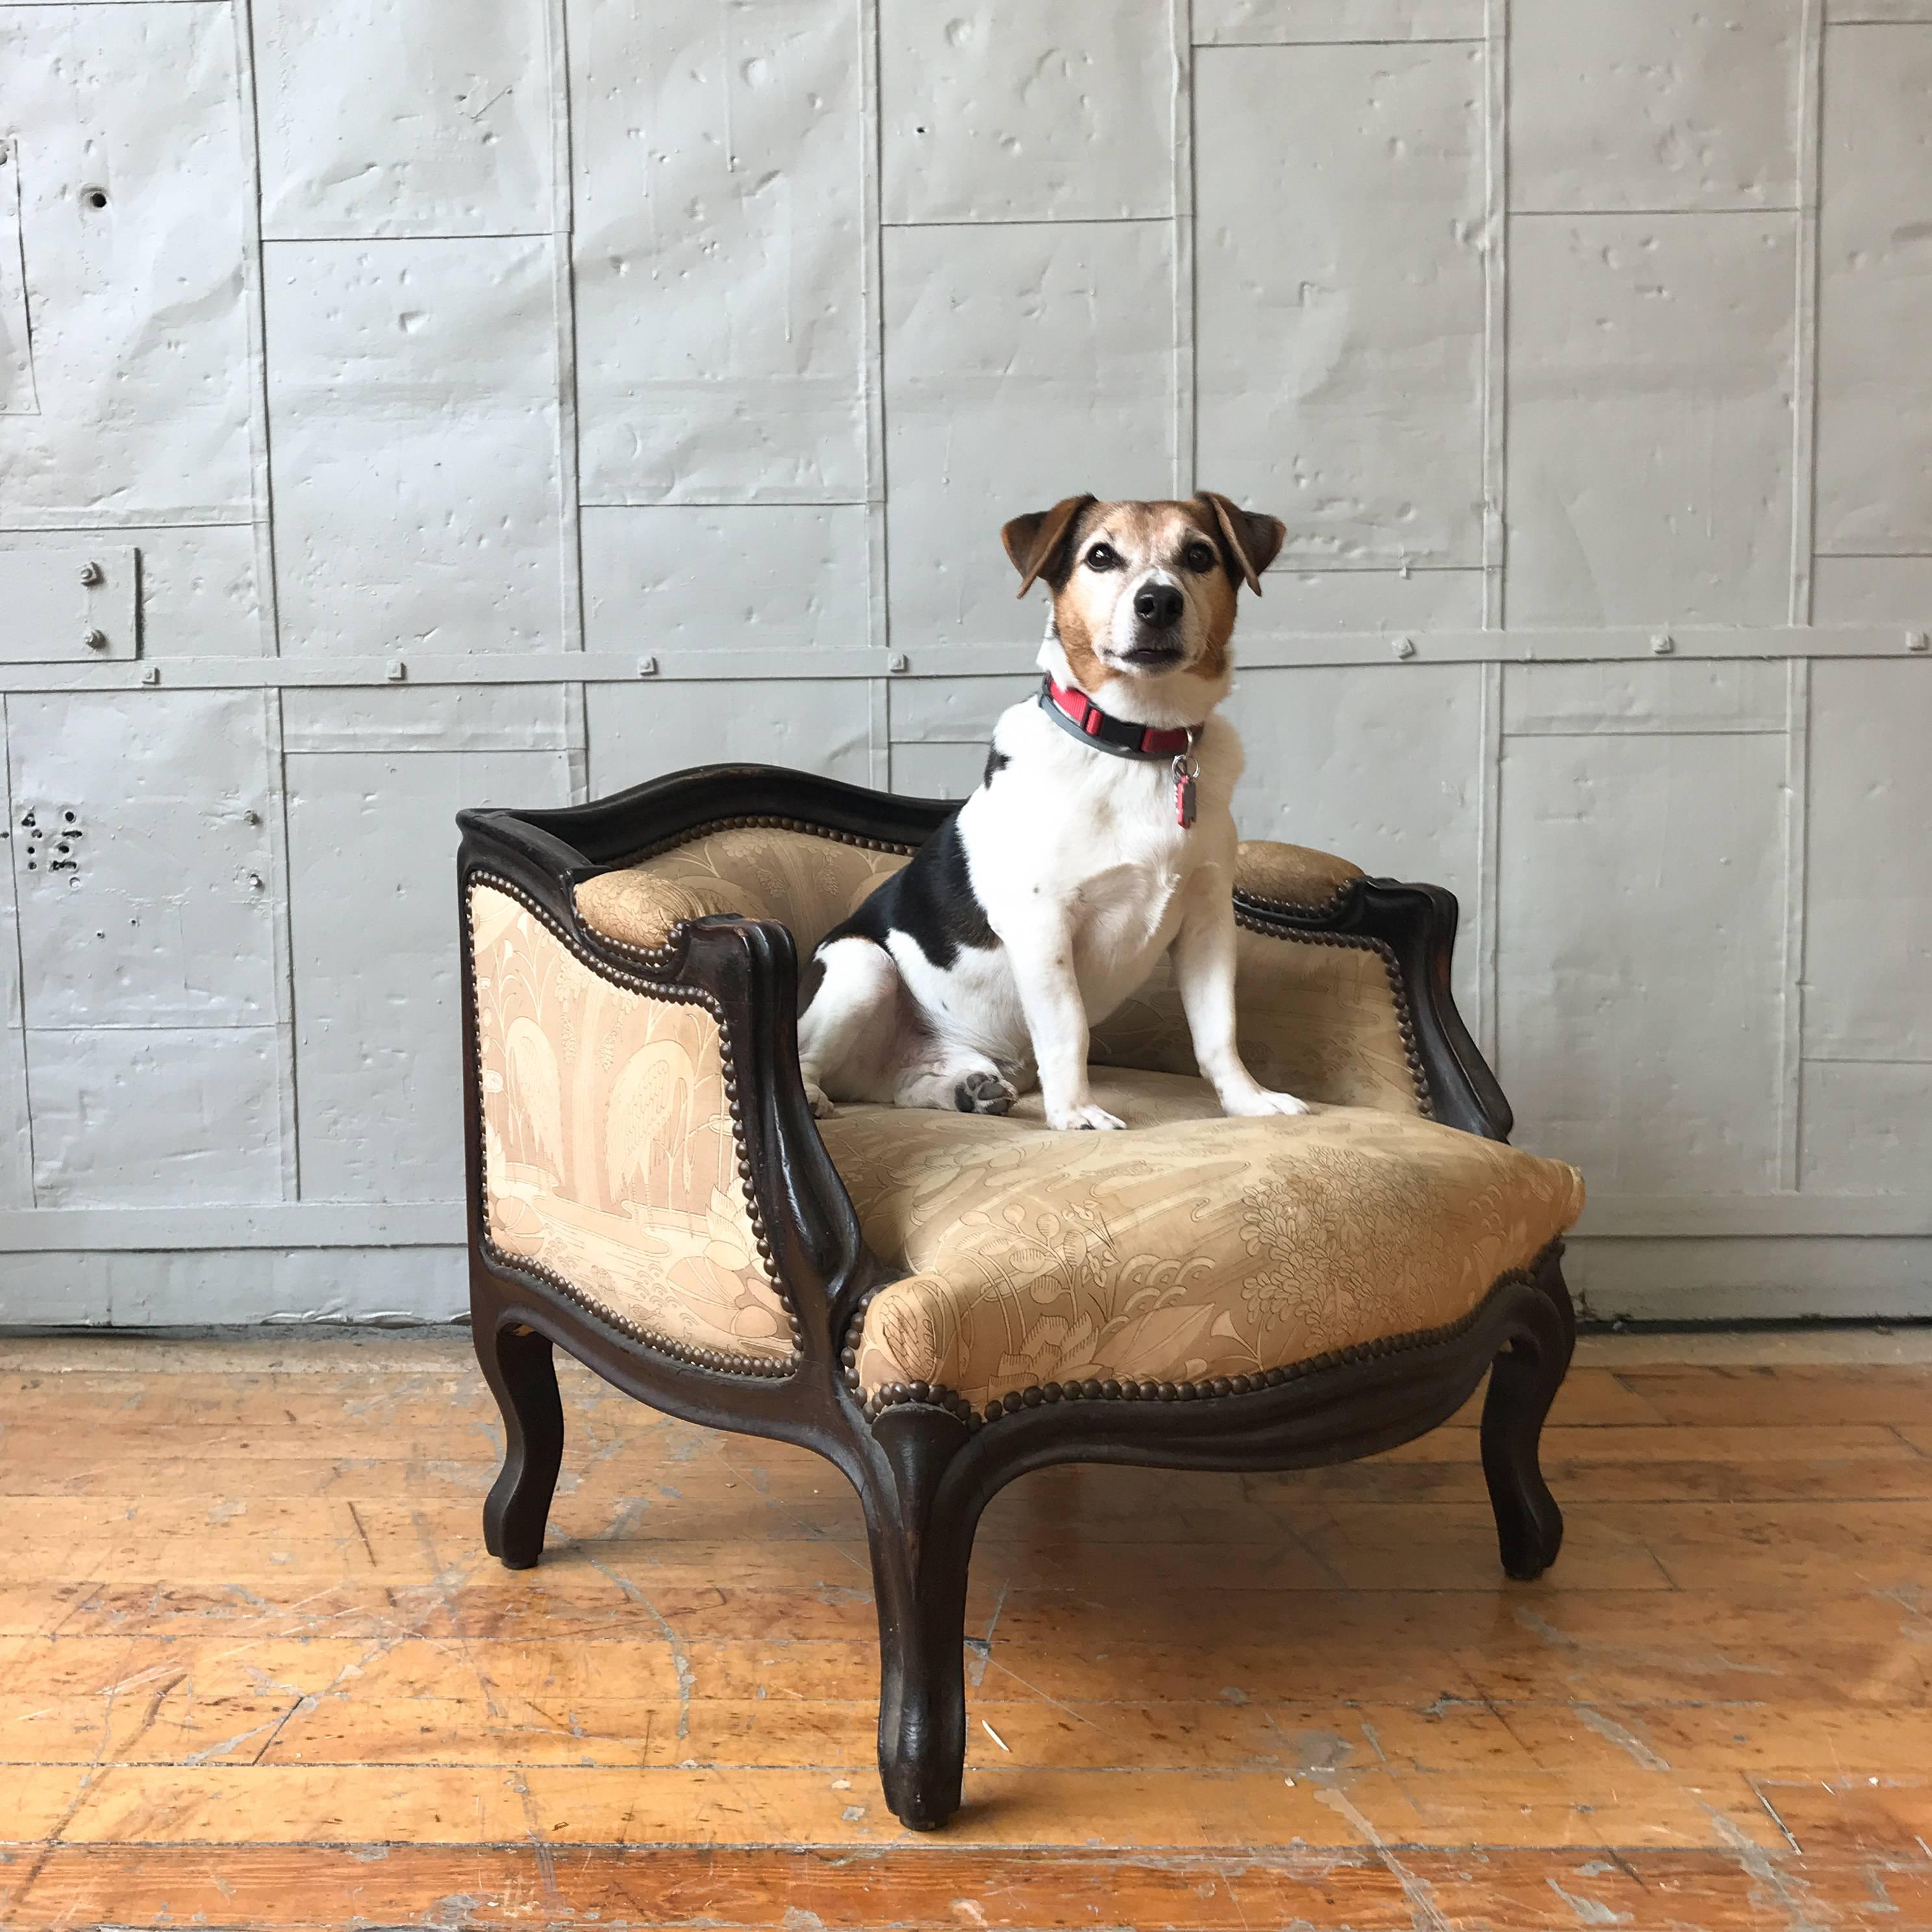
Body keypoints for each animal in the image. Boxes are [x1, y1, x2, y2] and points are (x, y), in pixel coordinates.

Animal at [792, 490, 1306, 1128]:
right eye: (1101, 556)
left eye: (1200, 555)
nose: (1159, 602)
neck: (1139, 745)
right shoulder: (1042, 922)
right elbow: (1068, 1028)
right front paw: (1076, 1113)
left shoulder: (1208, 923)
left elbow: (1218, 1030)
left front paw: (1248, 1101)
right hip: (863, 966)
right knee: (810, 1061)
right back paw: (814, 1096)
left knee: (903, 1084)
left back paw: (965, 1090)